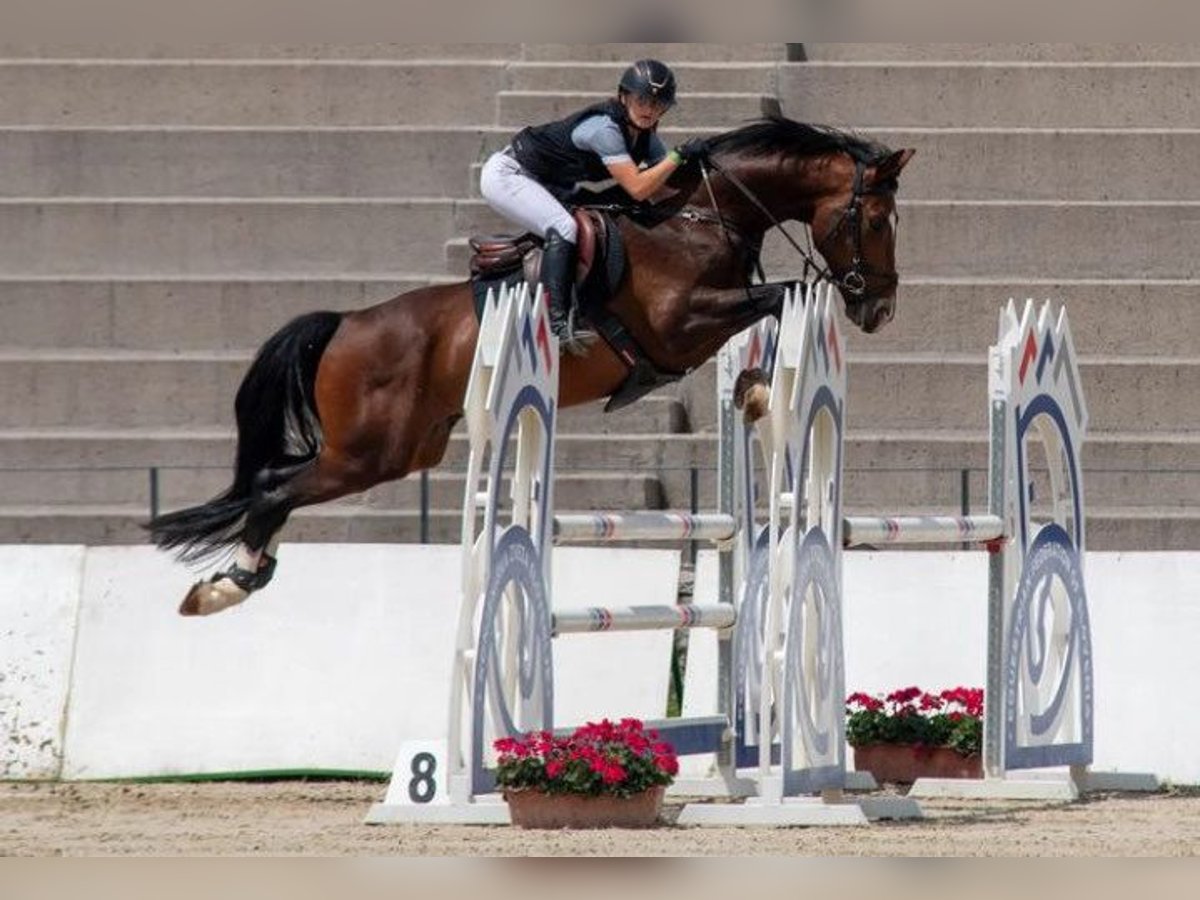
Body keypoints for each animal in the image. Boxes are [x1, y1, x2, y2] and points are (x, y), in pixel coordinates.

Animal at [152, 116, 916, 619]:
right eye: (877, 221)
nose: (880, 308)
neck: (701, 218)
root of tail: (345, 324)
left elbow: (771, 306)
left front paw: (753, 390)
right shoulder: (679, 327)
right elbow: (780, 294)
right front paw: (757, 393)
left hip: (402, 449)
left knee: (273, 483)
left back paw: (234, 579)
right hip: (368, 452)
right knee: (272, 489)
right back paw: (226, 587)